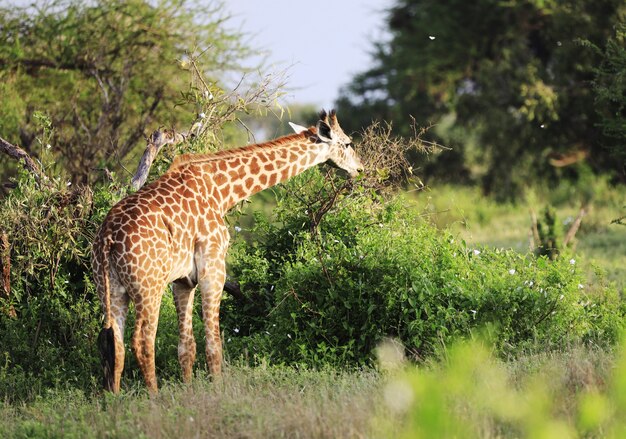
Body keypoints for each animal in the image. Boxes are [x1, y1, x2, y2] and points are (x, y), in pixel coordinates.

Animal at [91, 111, 364, 396]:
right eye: (348, 144)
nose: (360, 168)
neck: (222, 191)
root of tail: (107, 238)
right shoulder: (213, 268)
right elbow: (214, 343)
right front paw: (218, 391)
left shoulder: (182, 280)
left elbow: (186, 346)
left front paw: (189, 392)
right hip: (149, 287)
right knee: (142, 341)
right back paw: (154, 397)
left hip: (111, 289)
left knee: (115, 344)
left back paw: (115, 398)